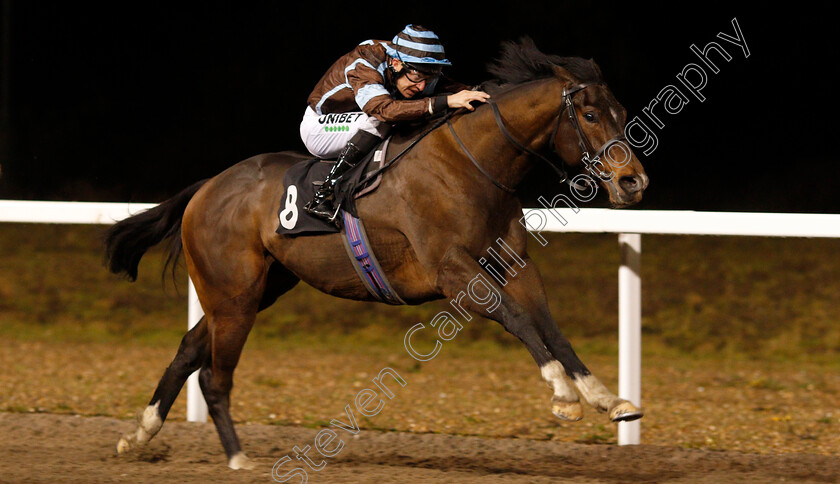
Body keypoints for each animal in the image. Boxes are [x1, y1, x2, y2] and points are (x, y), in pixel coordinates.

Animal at [105, 39, 648, 470]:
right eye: (591, 115)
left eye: (622, 114)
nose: (633, 182)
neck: (471, 164)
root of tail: (205, 188)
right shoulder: (451, 273)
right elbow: (515, 316)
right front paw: (564, 395)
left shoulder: (514, 264)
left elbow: (549, 325)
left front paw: (607, 398)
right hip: (234, 295)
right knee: (213, 376)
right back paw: (238, 458)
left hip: (257, 289)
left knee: (186, 352)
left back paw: (139, 435)